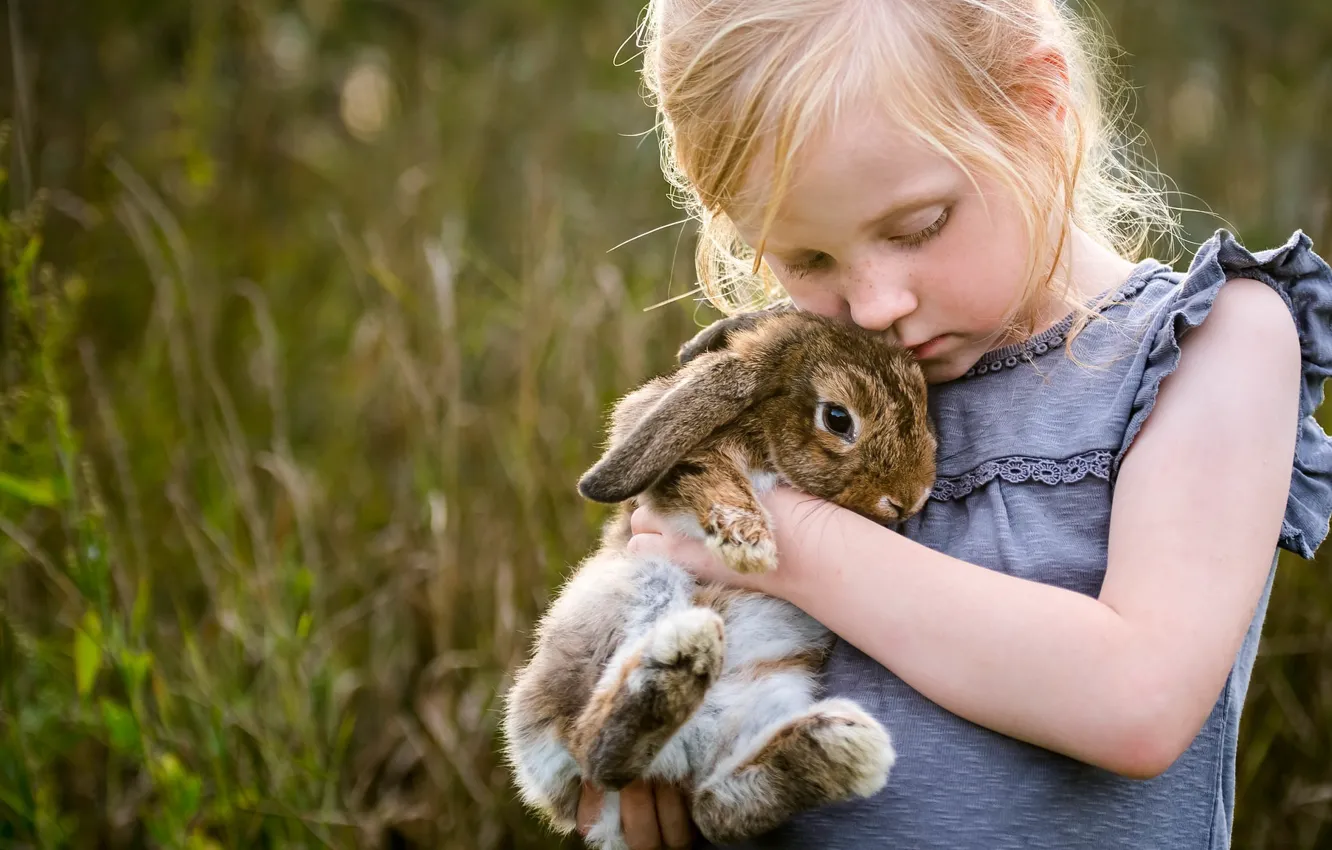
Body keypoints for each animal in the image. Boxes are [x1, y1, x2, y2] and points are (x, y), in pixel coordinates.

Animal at [501, 308, 937, 849]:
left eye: (924, 404)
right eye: (838, 419)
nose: (910, 498)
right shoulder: (683, 466)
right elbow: (713, 475)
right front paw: (750, 546)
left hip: (767, 699)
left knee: (714, 806)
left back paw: (842, 746)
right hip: (622, 606)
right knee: (594, 756)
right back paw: (680, 663)